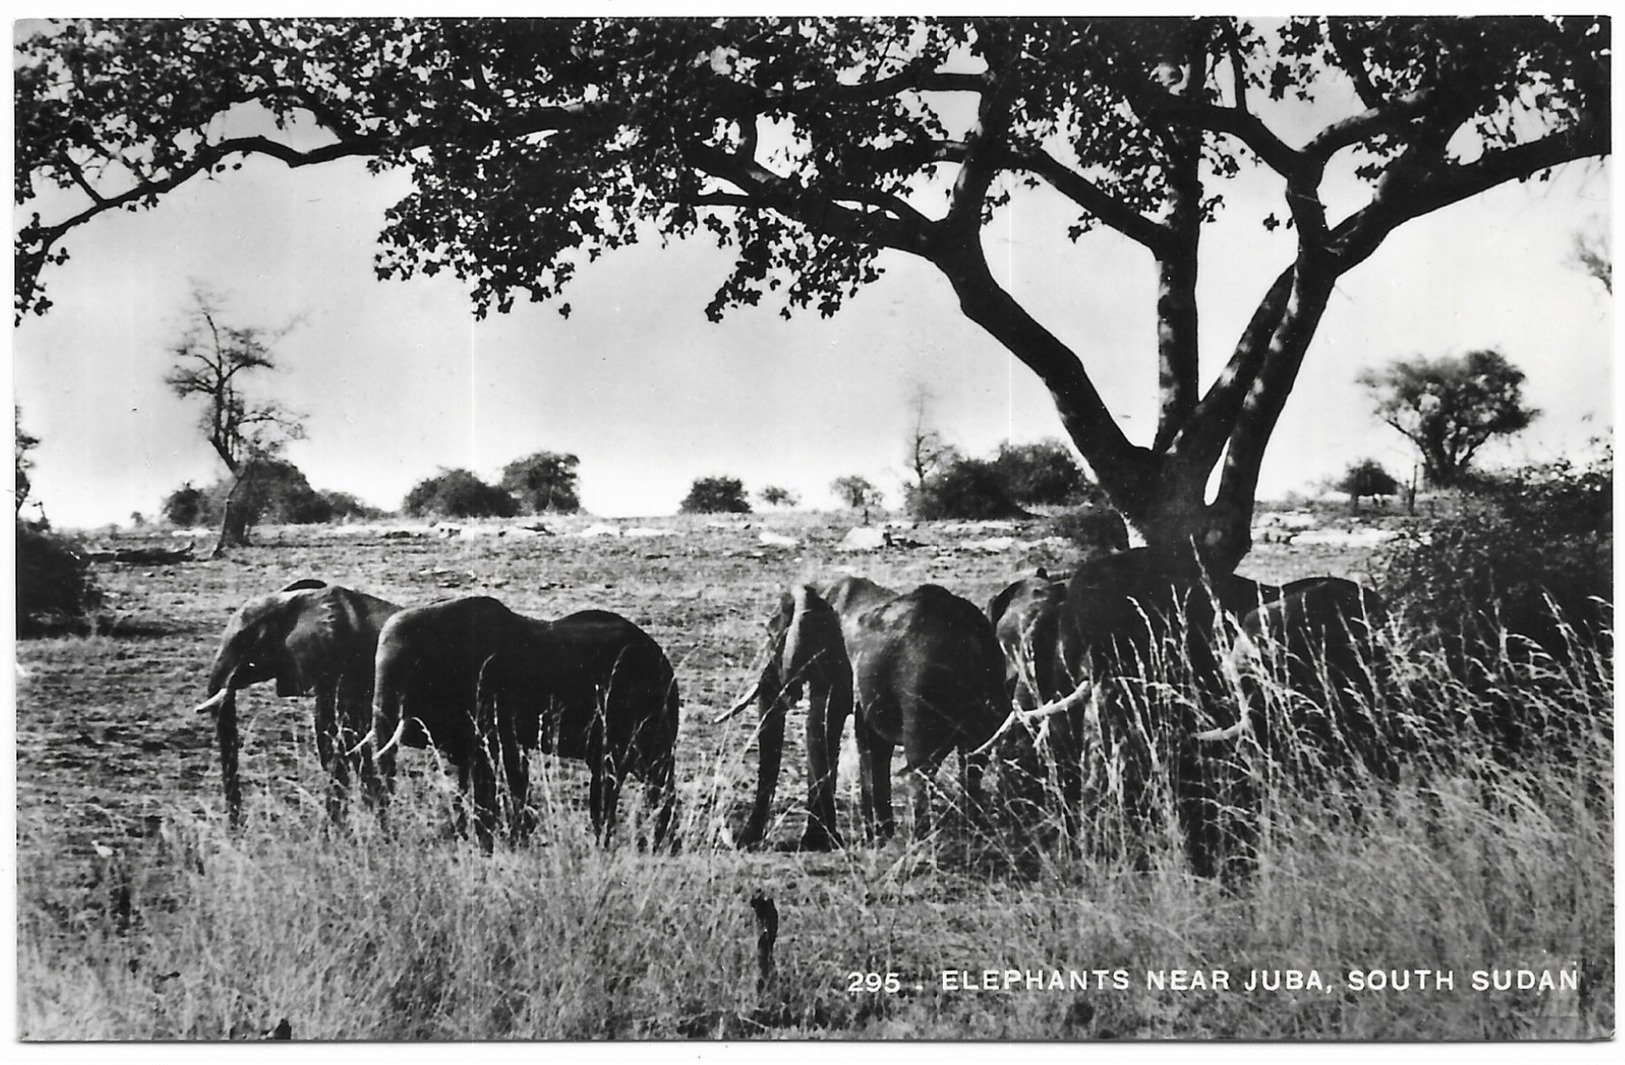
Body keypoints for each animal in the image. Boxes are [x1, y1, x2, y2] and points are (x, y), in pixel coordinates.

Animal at [190, 582, 403, 825]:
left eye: (244, 641)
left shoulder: (338, 658)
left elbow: (336, 735)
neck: (292, 601)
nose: (238, 828)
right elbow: (337, 736)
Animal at [355, 595, 679, 852]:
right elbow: (478, 768)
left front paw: (494, 841)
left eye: (412, 668)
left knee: (645, 772)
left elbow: (492, 765)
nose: (389, 839)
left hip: (646, 711)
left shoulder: (489, 692)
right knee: (622, 773)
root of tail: (663, 658)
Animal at [731, 575, 1007, 852]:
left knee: (921, 764)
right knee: (973, 759)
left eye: (770, 634)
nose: (743, 842)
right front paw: (877, 837)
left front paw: (818, 843)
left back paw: (921, 844)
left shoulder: (833, 659)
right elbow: (869, 739)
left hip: (924, 684)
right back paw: (972, 838)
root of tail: (972, 638)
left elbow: (823, 724)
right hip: (992, 680)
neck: (821, 589)